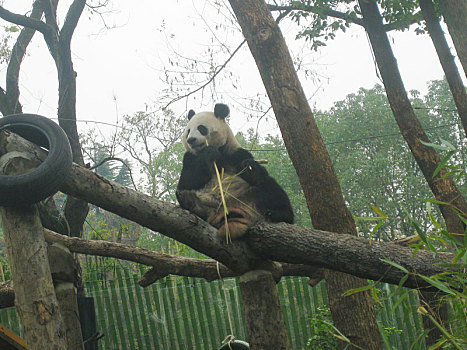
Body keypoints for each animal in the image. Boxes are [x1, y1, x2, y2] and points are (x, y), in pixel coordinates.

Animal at [177, 102, 294, 239]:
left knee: (269, 187)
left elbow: (257, 172)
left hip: (251, 195)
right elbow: (188, 181)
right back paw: (190, 202)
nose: (190, 140)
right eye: (188, 131)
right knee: (184, 194)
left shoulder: (235, 153)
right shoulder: (189, 158)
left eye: (201, 128)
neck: (220, 151)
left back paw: (279, 214)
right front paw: (209, 153)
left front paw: (249, 167)